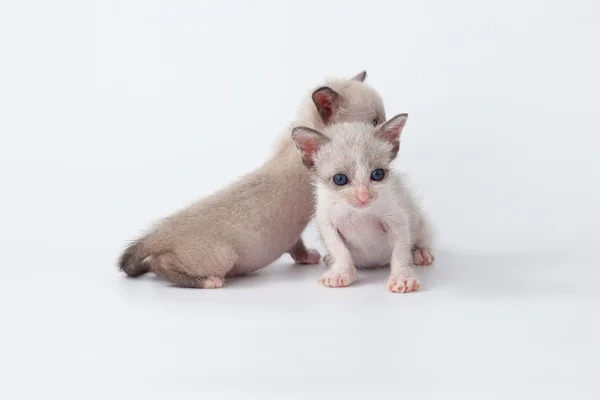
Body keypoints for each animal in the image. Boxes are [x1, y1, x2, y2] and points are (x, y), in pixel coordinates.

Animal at [118, 71, 390, 288]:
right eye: (374, 121)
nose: (387, 135)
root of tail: (160, 232)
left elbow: (296, 245)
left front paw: (306, 259)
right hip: (222, 256)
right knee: (161, 264)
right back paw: (208, 282)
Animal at [290, 114, 434, 292]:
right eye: (340, 179)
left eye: (378, 174)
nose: (363, 196)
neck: (358, 213)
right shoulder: (326, 222)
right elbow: (338, 249)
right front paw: (341, 271)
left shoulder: (398, 219)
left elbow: (400, 251)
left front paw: (402, 278)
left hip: (420, 222)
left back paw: (420, 253)